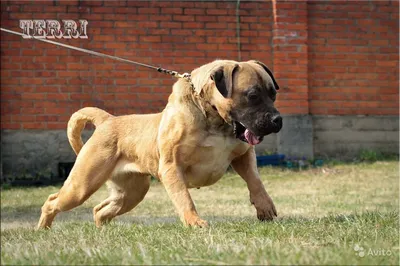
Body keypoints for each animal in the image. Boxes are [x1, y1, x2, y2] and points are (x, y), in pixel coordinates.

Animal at [36, 59, 282, 229]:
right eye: (252, 95)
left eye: (273, 94)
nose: (277, 119)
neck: (214, 118)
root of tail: (107, 120)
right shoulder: (172, 167)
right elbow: (184, 198)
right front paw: (194, 222)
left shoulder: (243, 155)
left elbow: (255, 181)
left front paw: (264, 206)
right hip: (81, 186)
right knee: (52, 201)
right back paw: (42, 230)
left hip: (132, 192)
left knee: (100, 210)